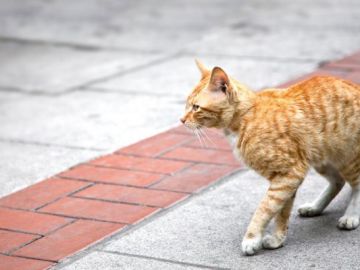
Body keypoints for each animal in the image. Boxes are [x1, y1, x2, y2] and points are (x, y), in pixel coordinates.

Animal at [181, 59, 360, 255]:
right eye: (187, 105)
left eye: (196, 107)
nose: (181, 120)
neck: (245, 118)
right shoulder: (287, 180)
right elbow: (281, 213)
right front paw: (277, 239)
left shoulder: (289, 175)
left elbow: (264, 209)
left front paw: (252, 238)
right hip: (322, 159)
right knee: (338, 181)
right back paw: (315, 207)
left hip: (347, 158)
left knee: (356, 185)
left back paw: (351, 215)